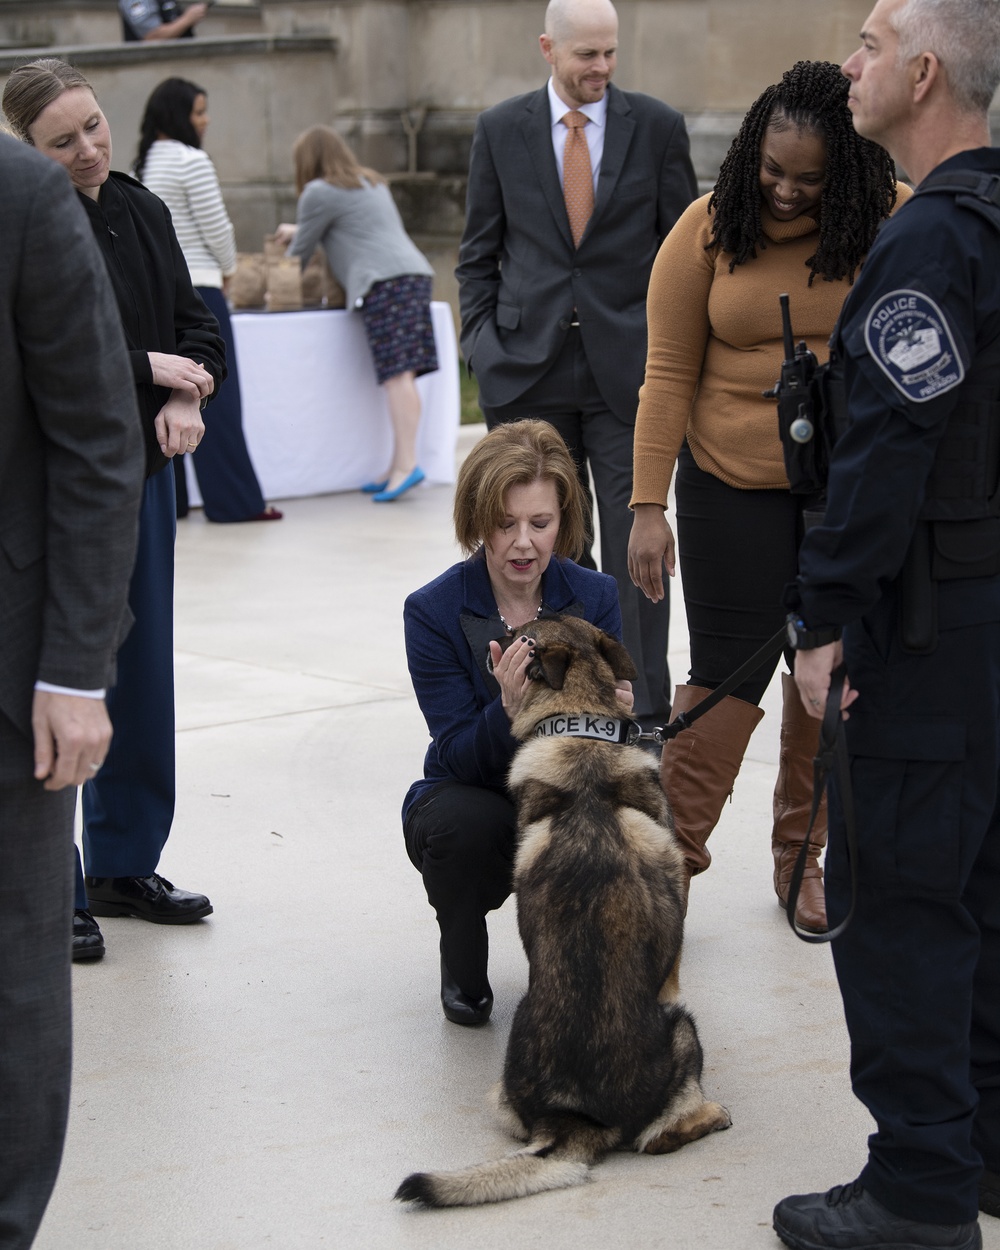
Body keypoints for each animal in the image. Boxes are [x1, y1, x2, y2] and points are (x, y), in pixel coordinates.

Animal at [395, 620, 730, 1205]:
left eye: (517, 634)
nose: (495, 636)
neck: (582, 735)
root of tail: (572, 1117)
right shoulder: (672, 965)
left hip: (505, 1094)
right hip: (683, 1031)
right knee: (660, 1135)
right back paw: (711, 1115)